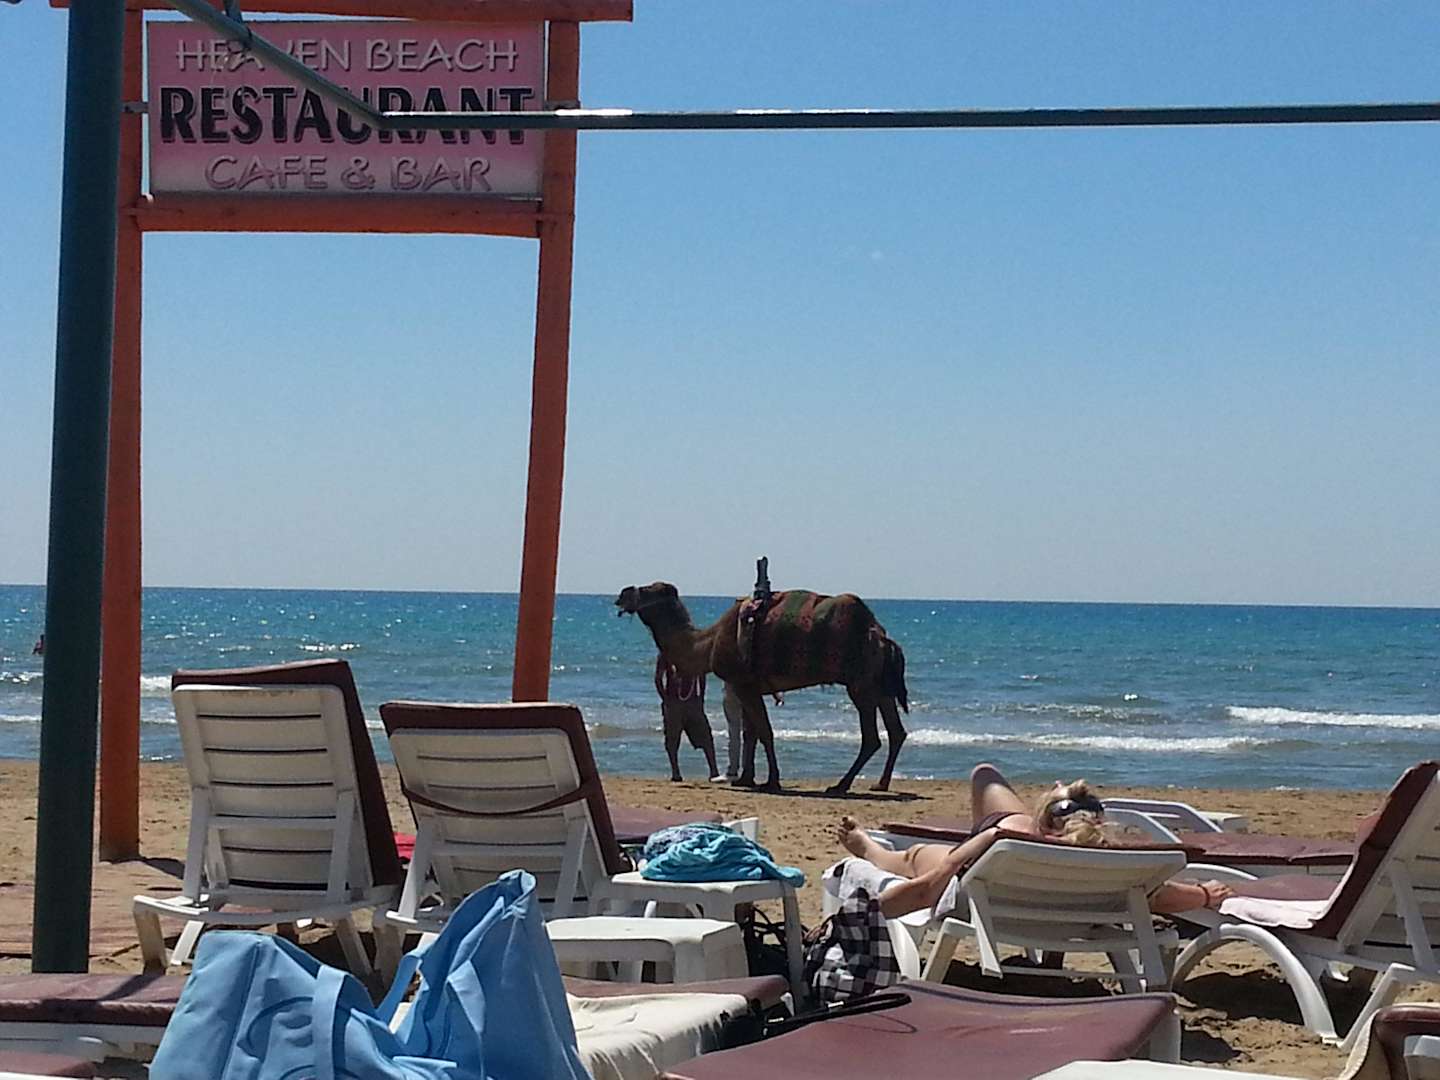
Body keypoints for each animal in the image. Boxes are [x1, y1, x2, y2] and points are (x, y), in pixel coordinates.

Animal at [615, 582, 909, 793]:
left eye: (649, 589)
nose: (622, 594)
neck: (707, 643)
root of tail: (881, 636)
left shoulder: (744, 683)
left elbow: (764, 732)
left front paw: (772, 781)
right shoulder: (749, 687)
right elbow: (752, 733)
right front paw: (746, 779)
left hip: (860, 684)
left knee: (871, 737)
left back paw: (840, 785)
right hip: (879, 685)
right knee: (896, 731)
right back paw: (880, 784)